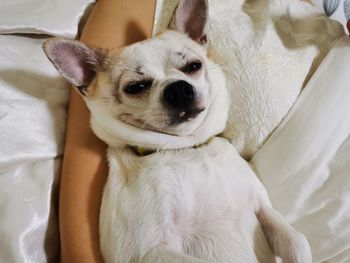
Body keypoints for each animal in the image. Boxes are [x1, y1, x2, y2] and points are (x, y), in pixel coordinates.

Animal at [43, 0, 312, 262]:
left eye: (194, 66)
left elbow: (297, 241)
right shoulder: (150, 251)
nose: (178, 88)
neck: (185, 147)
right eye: (135, 87)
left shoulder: (263, 207)